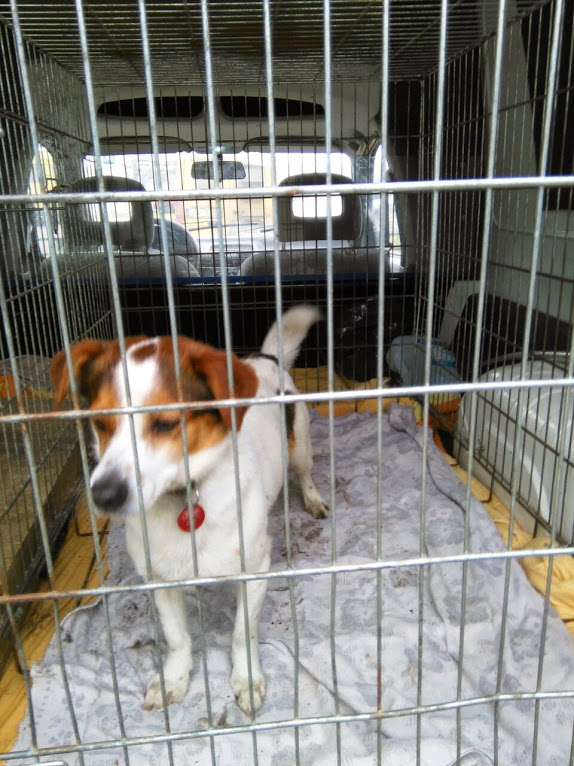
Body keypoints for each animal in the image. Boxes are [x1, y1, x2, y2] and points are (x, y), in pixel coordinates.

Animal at [50, 306, 328, 715]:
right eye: (100, 423)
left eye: (166, 423)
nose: (103, 495)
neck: (185, 495)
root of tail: (264, 359)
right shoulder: (159, 579)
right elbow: (177, 638)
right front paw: (174, 679)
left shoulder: (255, 569)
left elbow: (243, 632)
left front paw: (247, 679)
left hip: (301, 446)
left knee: (304, 473)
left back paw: (312, 499)